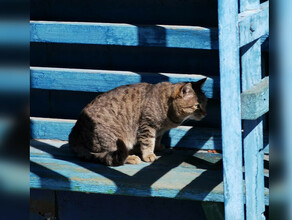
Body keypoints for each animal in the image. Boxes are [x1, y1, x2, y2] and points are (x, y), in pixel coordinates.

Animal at [68, 78, 208, 165]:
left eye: (206, 102)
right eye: (197, 106)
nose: (205, 113)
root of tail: (74, 135)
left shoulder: (160, 130)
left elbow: (157, 139)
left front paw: (158, 147)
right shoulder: (147, 125)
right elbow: (148, 142)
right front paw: (149, 155)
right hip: (114, 138)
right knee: (112, 154)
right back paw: (131, 157)